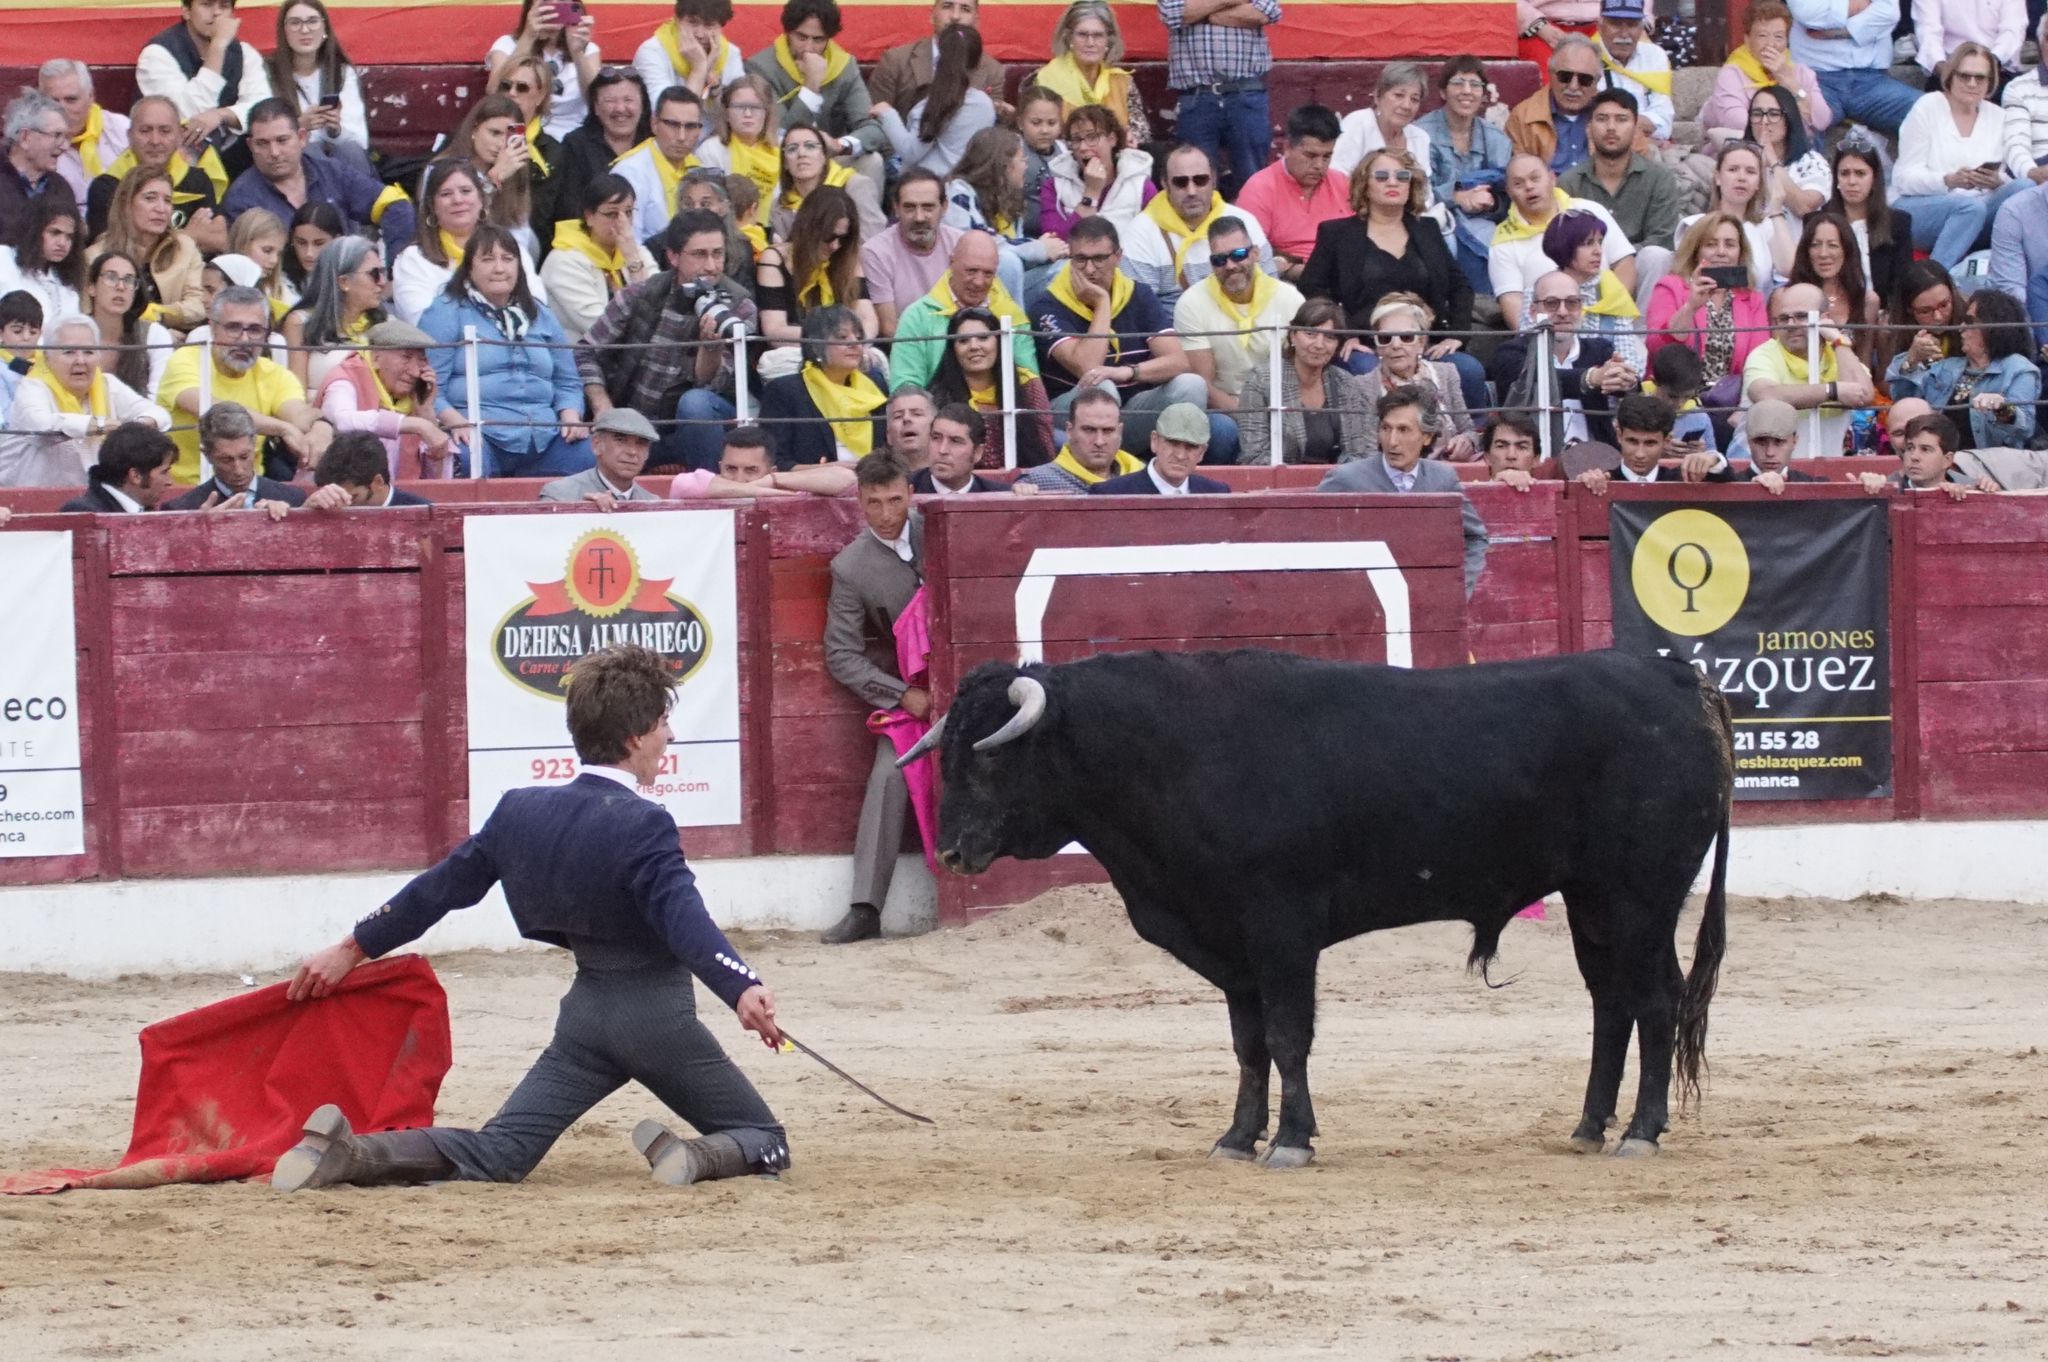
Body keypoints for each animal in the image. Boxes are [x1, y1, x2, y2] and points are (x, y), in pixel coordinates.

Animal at [909, 647, 1728, 1171]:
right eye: (946, 755)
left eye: (991, 755)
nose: (950, 852)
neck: (1175, 754)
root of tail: (1674, 678)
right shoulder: (1230, 946)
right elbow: (1248, 1045)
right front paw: (1237, 1139)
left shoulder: (1281, 929)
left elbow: (1287, 1035)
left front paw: (1292, 1141)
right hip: (1593, 900)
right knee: (1611, 1003)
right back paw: (1589, 1127)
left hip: (1641, 896)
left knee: (1656, 1002)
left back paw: (1641, 1133)